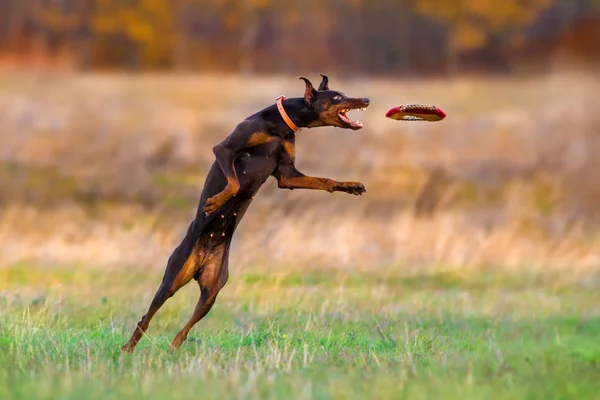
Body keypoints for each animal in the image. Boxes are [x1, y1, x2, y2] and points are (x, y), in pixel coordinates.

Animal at [120, 73, 368, 352]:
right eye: (337, 97)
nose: (366, 99)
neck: (280, 125)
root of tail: (202, 259)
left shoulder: (287, 175)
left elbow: (325, 180)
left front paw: (351, 186)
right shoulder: (225, 149)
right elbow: (235, 183)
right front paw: (215, 202)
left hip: (212, 290)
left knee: (187, 324)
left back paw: (174, 345)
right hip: (172, 278)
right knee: (148, 315)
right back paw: (129, 347)